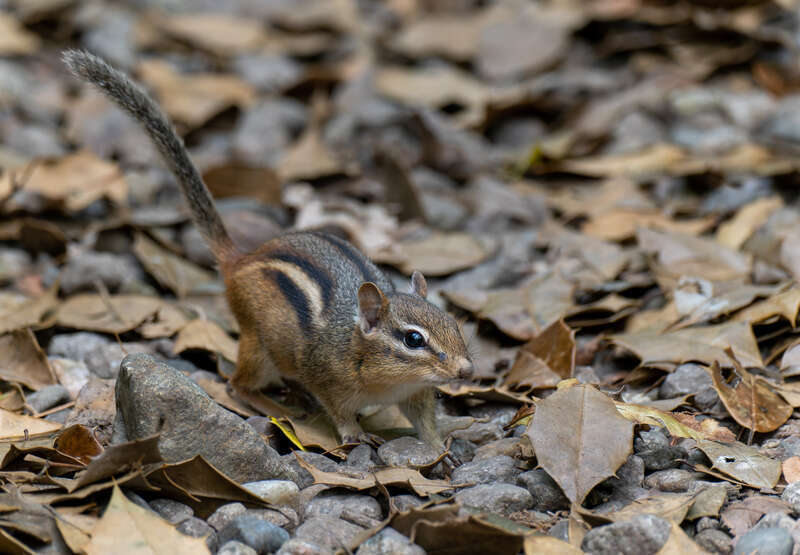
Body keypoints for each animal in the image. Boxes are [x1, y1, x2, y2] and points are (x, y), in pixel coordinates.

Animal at [63, 50, 474, 456]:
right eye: (413, 340)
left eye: (454, 325)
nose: (466, 372)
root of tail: (239, 260)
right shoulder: (329, 381)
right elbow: (340, 412)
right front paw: (355, 434)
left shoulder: (418, 393)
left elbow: (425, 421)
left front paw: (440, 449)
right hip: (259, 347)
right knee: (236, 385)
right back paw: (277, 404)